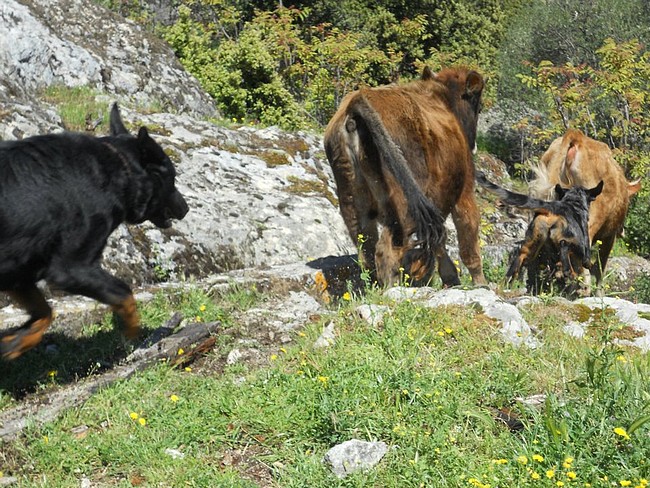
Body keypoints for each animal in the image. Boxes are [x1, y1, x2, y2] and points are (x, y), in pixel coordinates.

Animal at [322, 65, 484, 286]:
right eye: (478, 106)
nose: (474, 144)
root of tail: (354, 106)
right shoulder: (464, 193)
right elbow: (468, 241)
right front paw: (481, 283)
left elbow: (438, 243)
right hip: (403, 207)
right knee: (386, 249)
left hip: (352, 201)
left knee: (366, 249)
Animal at [532, 130, 636, 290]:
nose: (622, 232)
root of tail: (576, 137)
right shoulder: (609, 236)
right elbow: (601, 267)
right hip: (589, 220)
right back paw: (584, 287)